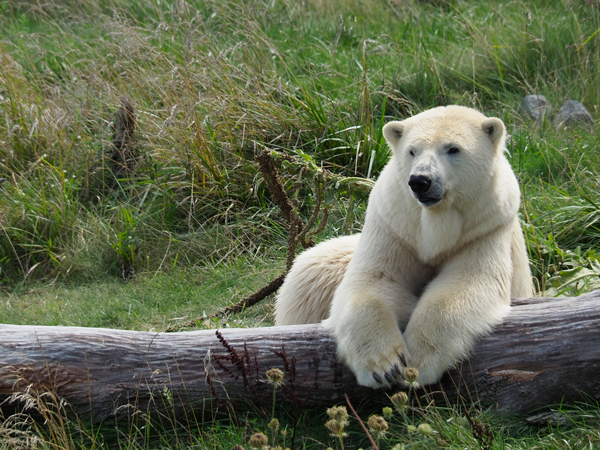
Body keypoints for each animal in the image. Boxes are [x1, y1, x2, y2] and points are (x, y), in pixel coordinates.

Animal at [274, 105, 532, 386]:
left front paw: (418, 363)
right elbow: (376, 279)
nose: (420, 181)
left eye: (453, 148)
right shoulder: (394, 225)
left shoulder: (484, 228)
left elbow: (466, 282)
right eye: (412, 150)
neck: (435, 222)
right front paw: (385, 366)